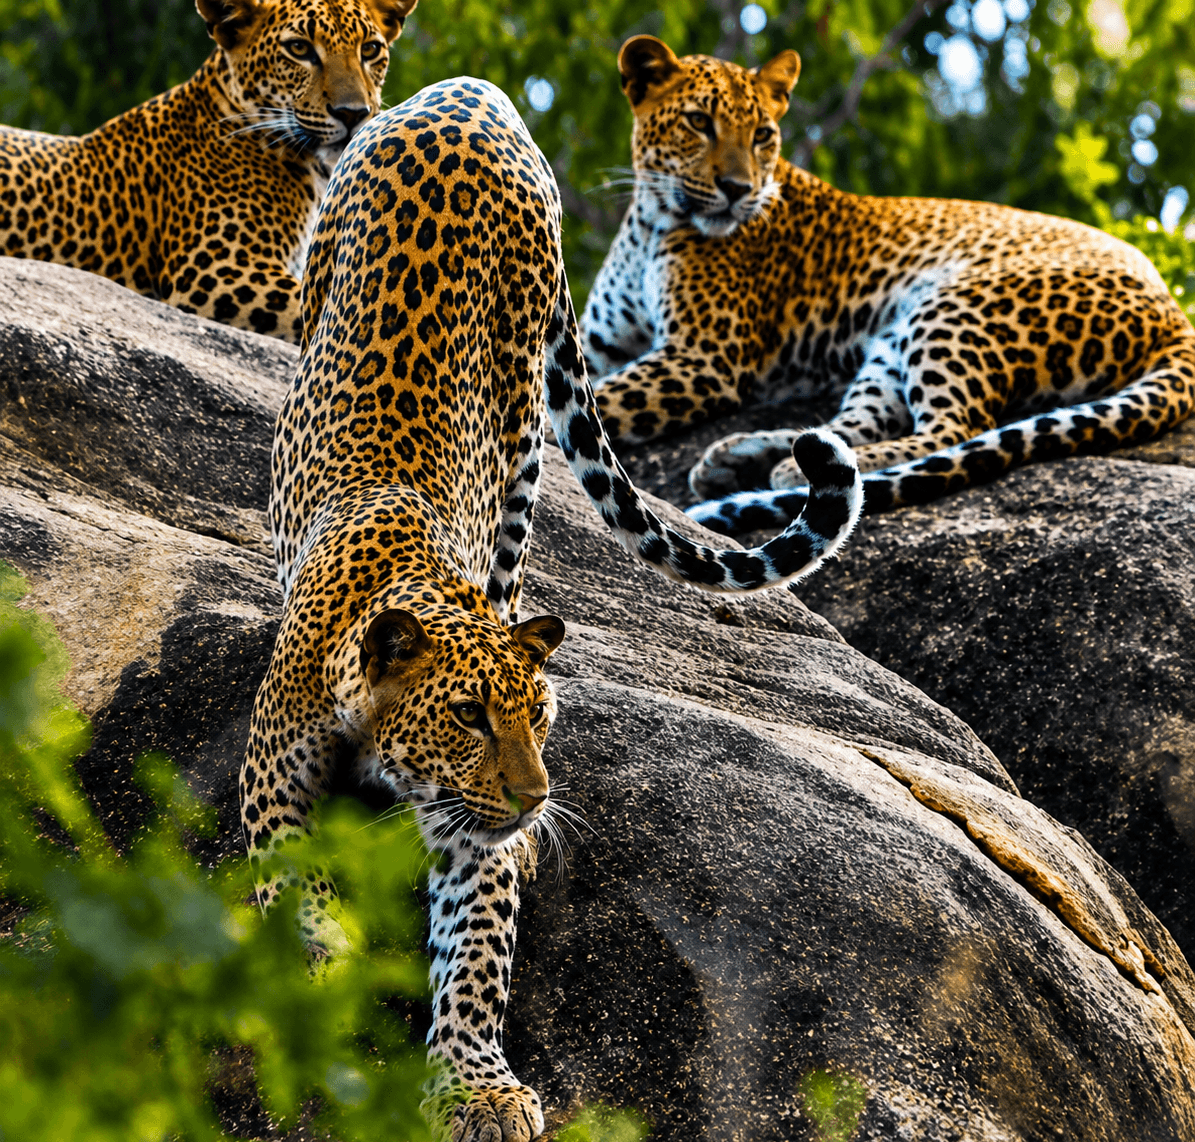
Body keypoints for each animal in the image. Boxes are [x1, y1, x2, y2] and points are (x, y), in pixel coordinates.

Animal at [242, 77, 862, 1141]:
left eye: (539, 719)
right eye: (467, 717)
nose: (536, 799)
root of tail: (471, 94)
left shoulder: (469, 839)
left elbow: (477, 955)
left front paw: (476, 1087)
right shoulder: (273, 778)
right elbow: (298, 895)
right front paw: (318, 991)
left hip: (525, 413)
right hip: (324, 272)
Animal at [579, 35, 1195, 537]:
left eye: (762, 137)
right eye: (698, 123)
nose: (737, 189)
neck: (652, 220)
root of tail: (1175, 312)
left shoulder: (703, 357)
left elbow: (598, 402)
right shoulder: (597, 342)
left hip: (954, 307)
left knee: (957, 427)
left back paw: (777, 469)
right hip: (890, 342)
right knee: (845, 431)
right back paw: (743, 457)